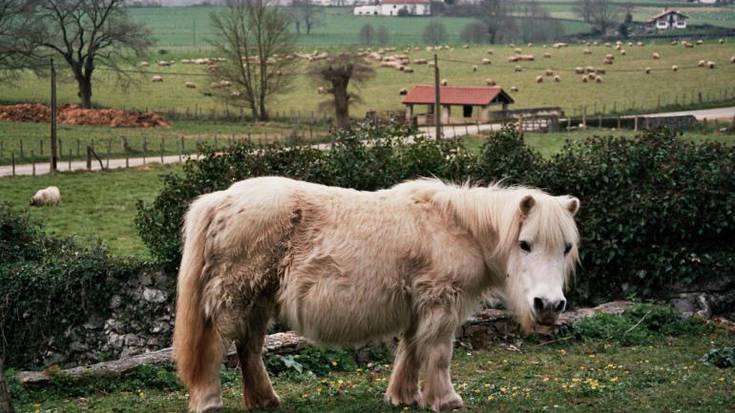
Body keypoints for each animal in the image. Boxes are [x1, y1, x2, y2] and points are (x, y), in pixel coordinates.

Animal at [174, 175, 580, 410]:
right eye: (525, 244)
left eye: (566, 248)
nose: (549, 305)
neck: (457, 227)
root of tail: (222, 199)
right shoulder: (440, 302)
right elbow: (438, 353)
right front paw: (445, 400)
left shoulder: (420, 305)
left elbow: (411, 350)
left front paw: (405, 396)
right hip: (234, 295)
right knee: (213, 346)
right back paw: (209, 401)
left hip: (258, 299)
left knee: (249, 348)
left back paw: (264, 400)